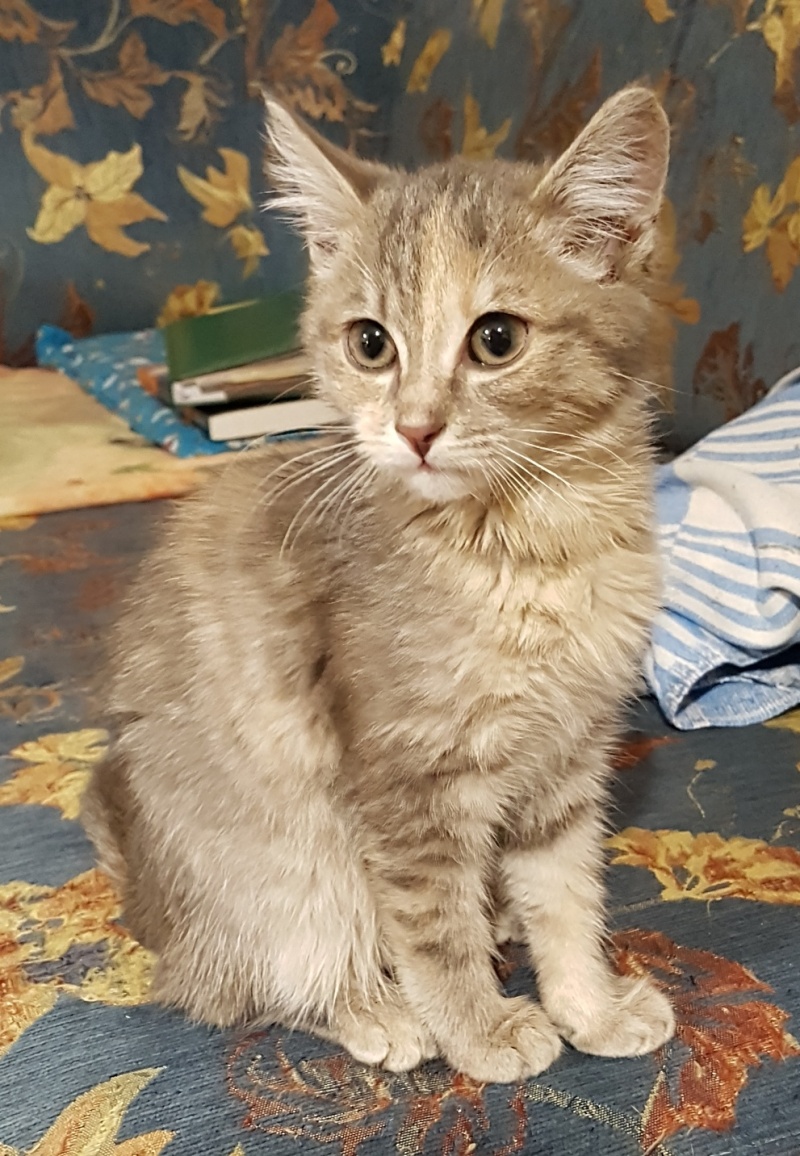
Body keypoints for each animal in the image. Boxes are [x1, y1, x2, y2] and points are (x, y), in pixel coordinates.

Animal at [81, 85, 676, 1083]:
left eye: (497, 339)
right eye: (370, 344)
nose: (416, 428)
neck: (533, 549)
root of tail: (150, 908)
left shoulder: (570, 757)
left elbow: (566, 896)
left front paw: (588, 1006)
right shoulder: (405, 782)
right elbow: (431, 926)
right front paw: (478, 1029)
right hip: (283, 859)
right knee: (247, 979)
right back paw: (374, 1011)